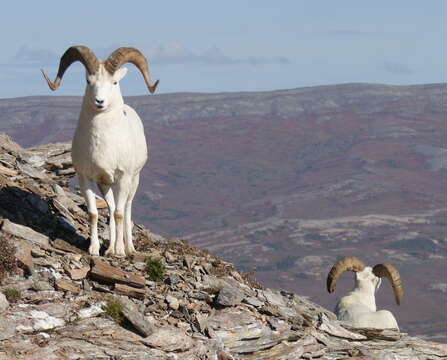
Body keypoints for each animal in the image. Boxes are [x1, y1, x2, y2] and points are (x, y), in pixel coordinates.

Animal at [40, 45, 159, 256]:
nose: (99, 101)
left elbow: (120, 214)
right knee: (110, 208)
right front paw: (94, 249)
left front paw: (120, 252)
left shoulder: (123, 178)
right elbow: (94, 214)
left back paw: (128, 248)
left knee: (125, 209)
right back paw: (109, 249)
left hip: (133, 182)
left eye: (114, 82)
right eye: (89, 81)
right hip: (105, 185)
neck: (102, 144)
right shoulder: (86, 178)